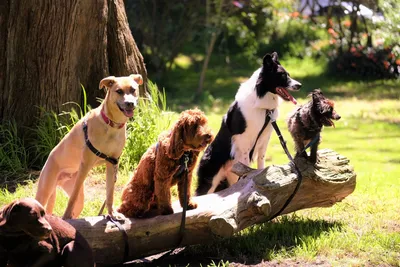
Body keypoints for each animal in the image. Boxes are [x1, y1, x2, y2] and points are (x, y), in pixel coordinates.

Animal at [35, 74, 143, 220]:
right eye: (119, 91)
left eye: (133, 89)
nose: (130, 103)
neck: (111, 124)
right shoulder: (85, 165)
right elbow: (72, 198)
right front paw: (66, 216)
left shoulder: (112, 163)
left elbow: (110, 193)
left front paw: (112, 213)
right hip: (45, 190)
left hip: (79, 199)